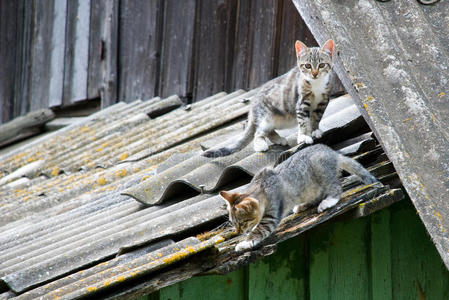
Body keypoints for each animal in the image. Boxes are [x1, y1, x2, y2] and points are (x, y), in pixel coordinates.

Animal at [202, 39, 332, 159]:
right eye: (307, 66)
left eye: (321, 65)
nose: (314, 74)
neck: (316, 85)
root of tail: (252, 108)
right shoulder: (301, 102)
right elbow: (303, 121)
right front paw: (304, 136)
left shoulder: (323, 102)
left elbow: (316, 118)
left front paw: (315, 130)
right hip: (266, 116)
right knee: (258, 132)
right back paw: (260, 144)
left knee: (268, 130)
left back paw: (278, 139)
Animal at [219, 143, 376, 251]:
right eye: (233, 224)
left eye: (241, 223)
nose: (238, 232)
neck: (262, 186)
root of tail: (333, 153)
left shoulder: (271, 216)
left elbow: (260, 230)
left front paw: (244, 242)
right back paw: (303, 205)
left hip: (321, 170)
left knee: (336, 187)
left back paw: (328, 202)